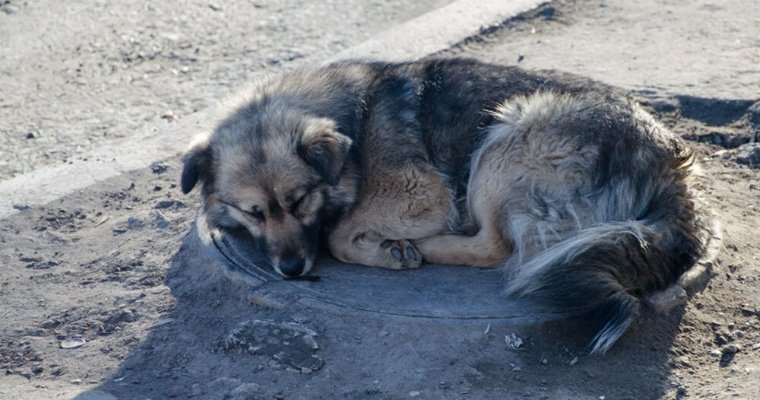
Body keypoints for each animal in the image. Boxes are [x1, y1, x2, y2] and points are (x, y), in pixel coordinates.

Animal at [181, 57, 716, 354]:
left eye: (300, 199)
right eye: (254, 212)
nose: (290, 270)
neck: (355, 124)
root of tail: (670, 165)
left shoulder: (422, 193)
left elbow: (335, 233)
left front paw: (384, 248)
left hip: (506, 138)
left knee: (497, 248)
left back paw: (428, 247)